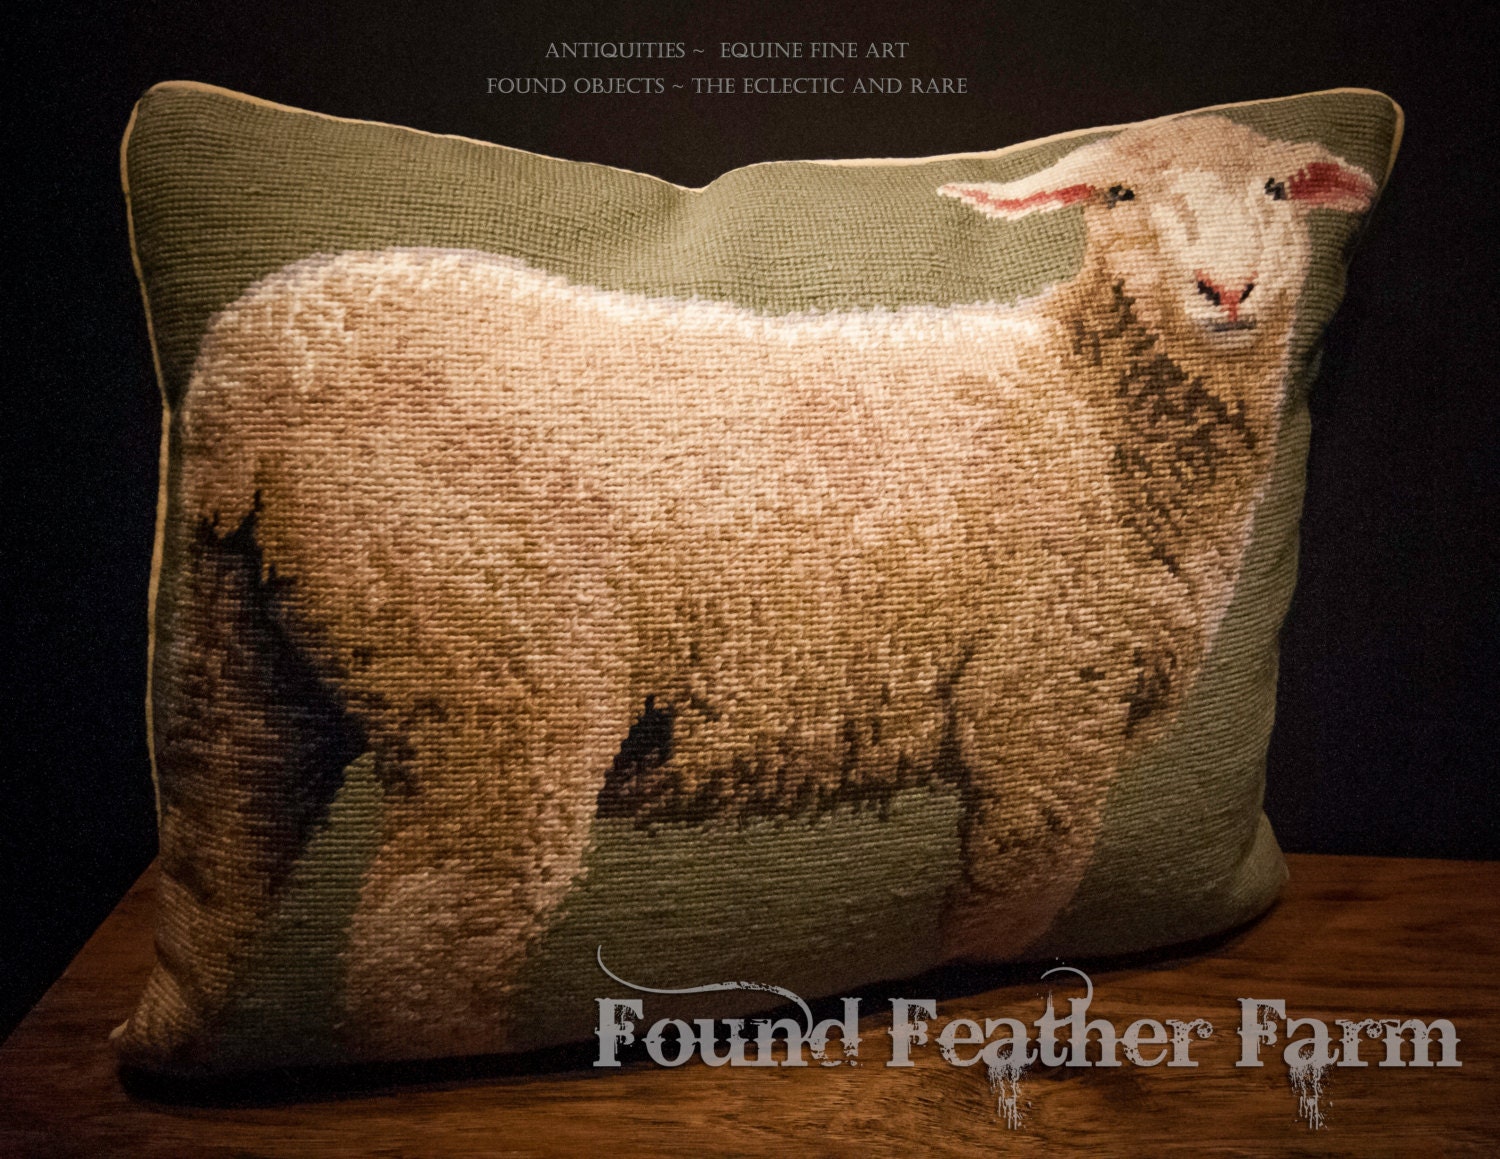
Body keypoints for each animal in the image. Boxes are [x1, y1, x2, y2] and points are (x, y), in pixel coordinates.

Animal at [129, 112, 1376, 1066]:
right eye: (1118, 191)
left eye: (1277, 187)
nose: (1229, 288)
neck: (1093, 402)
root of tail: (247, 371)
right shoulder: (1042, 705)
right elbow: (1006, 903)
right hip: (497, 692)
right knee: (418, 951)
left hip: (241, 670)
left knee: (226, 870)